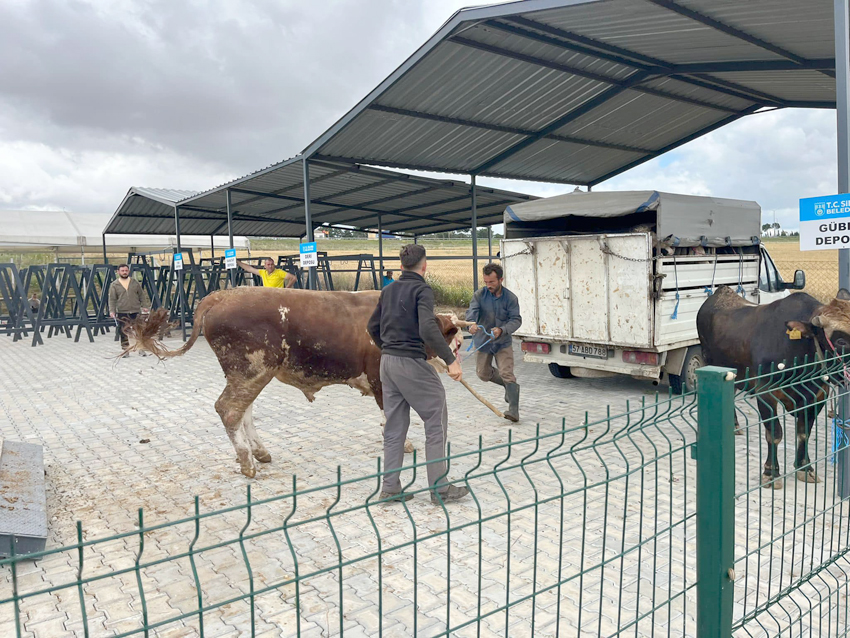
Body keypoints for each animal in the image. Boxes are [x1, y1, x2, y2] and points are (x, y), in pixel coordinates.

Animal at [127, 288, 464, 478]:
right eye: (453, 337)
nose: (458, 357)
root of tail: (221, 295)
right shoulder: (379, 379)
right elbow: (391, 414)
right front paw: (403, 443)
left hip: (248, 374)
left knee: (243, 409)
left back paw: (260, 452)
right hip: (251, 370)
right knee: (230, 409)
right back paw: (247, 463)